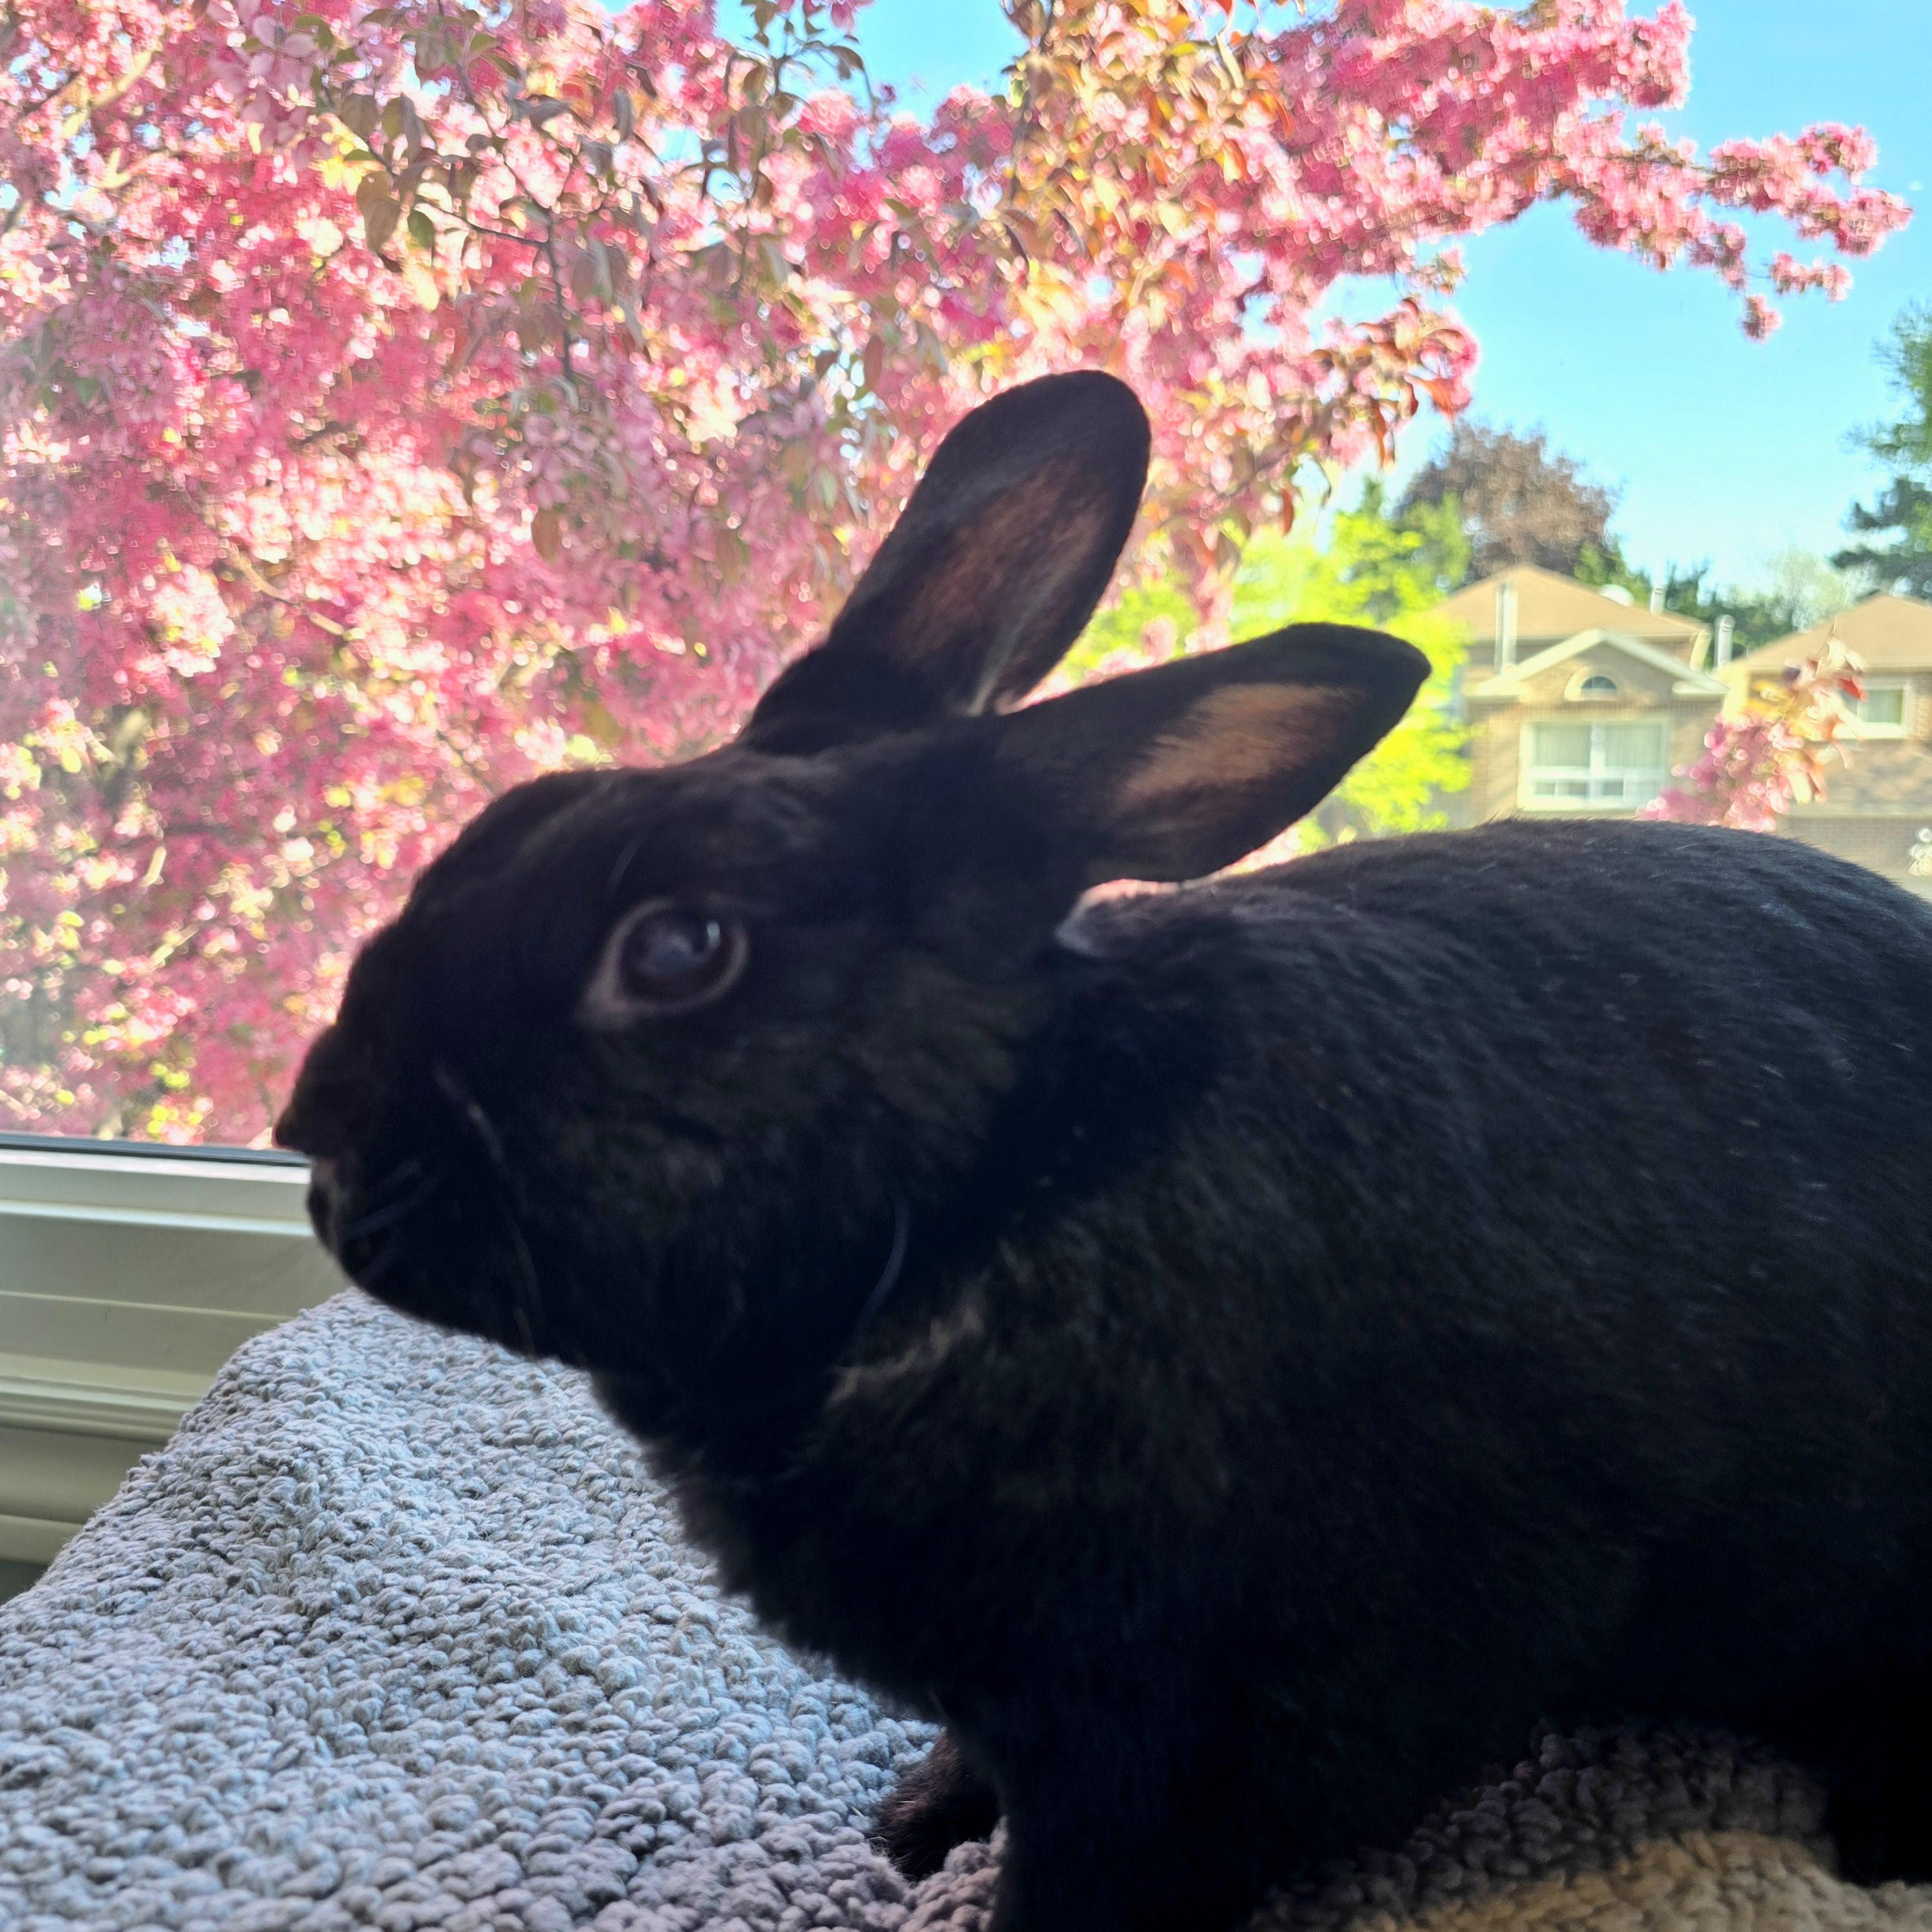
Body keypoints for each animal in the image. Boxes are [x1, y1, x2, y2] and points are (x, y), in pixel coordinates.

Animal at [277, 370, 1932, 1932]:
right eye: (519, 815)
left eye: (680, 949)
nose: (320, 1142)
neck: (992, 1190)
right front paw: (914, 1826)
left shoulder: (1201, 1741)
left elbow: (1093, 1878)